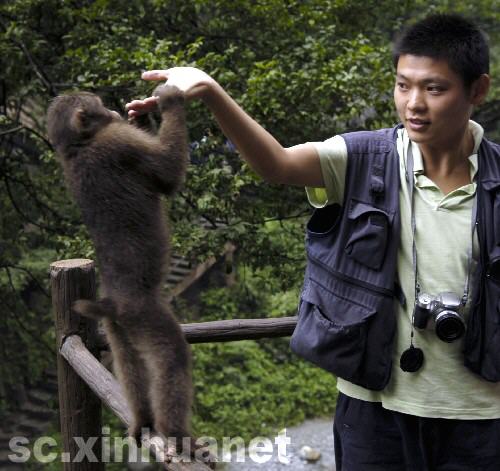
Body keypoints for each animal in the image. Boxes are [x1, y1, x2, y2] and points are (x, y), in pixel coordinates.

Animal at [46, 85, 202, 460]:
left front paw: (141, 112)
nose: (114, 111)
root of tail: (113, 302)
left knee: (130, 362)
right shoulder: (118, 141)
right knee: (172, 358)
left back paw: (142, 420)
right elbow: (167, 174)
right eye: (100, 106)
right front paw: (169, 99)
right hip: (145, 314)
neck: (77, 148)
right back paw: (177, 435)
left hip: (118, 325)